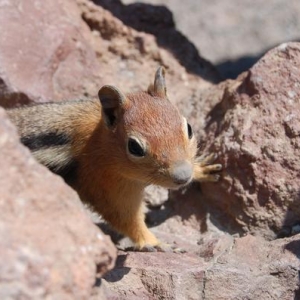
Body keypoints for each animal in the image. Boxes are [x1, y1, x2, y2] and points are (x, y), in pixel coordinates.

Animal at [7, 67, 221, 251]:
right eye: (134, 147)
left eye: (189, 128)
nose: (183, 176)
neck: (98, 141)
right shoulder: (107, 188)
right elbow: (127, 219)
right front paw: (155, 242)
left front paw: (202, 169)